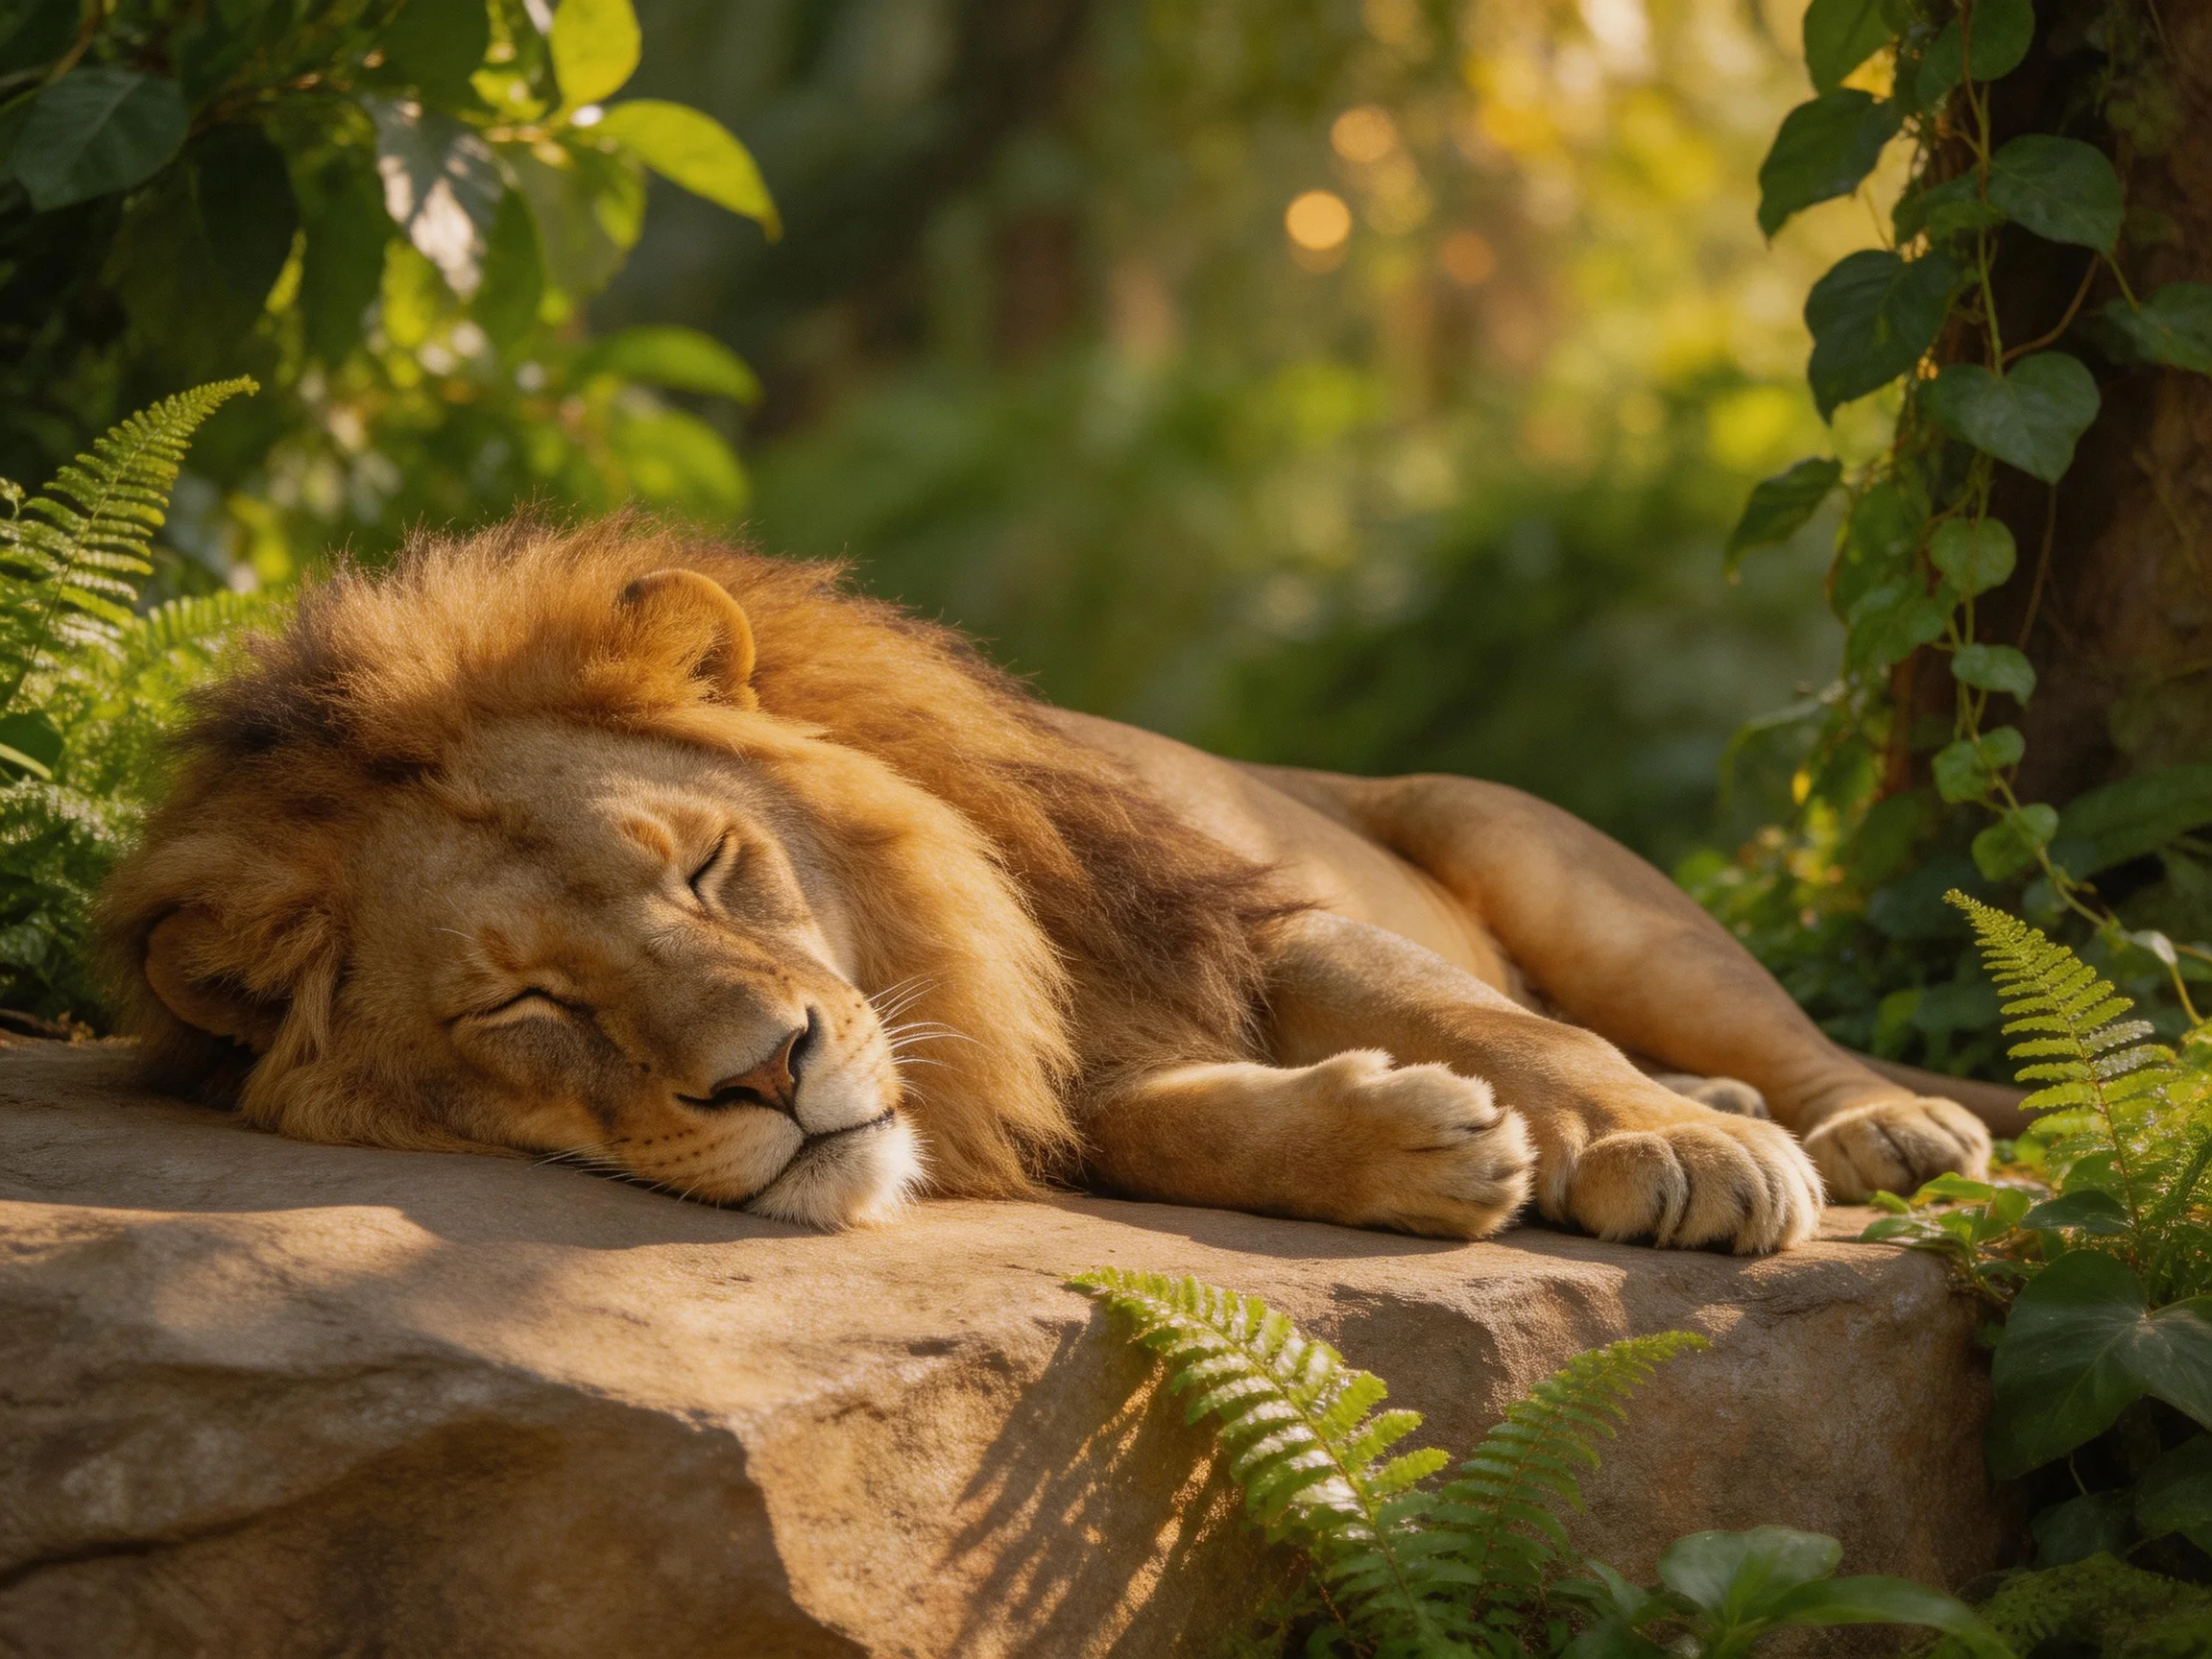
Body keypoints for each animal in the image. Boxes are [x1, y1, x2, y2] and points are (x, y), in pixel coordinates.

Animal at [98, 516, 1993, 1252]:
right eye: (526, 1004)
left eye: (706, 866)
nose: (771, 1074)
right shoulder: (1063, 1057)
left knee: (1783, 1032)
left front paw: (1662, 1147)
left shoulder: (1244, 916)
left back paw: (1849, 1119)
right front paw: (1406, 1144)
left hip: (1553, 859)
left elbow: (1490, 1022)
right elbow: (1164, 1126)